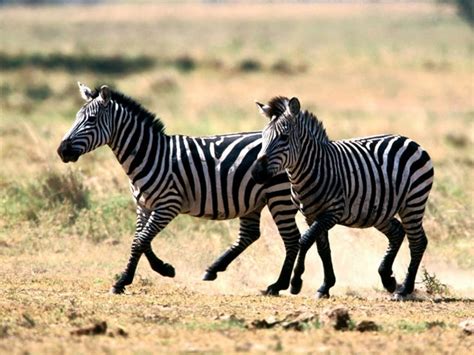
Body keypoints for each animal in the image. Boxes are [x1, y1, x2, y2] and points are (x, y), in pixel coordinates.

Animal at [56, 82, 300, 294]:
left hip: (278, 196)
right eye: (76, 118)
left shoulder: (168, 205)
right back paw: (213, 270)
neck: (151, 155)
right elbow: (140, 240)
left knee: (291, 238)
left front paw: (122, 281)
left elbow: (141, 241)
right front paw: (164, 268)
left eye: (91, 119)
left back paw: (279, 285)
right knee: (249, 235)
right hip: (253, 200)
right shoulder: (143, 206)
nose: (61, 151)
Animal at [252, 96, 434, 300]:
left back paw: (404, 289)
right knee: (397, 232)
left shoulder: (332, 213)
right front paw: (325, 286)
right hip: (379, 211)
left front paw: (296, 282)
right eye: (262, 136)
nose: (256, 173)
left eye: (284, 137)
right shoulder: (311, 215)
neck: (314, 168)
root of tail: (409, 140)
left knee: (418, 242)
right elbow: (323, 249)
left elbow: (305, 240)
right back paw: (388, 279)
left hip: (413, 202)